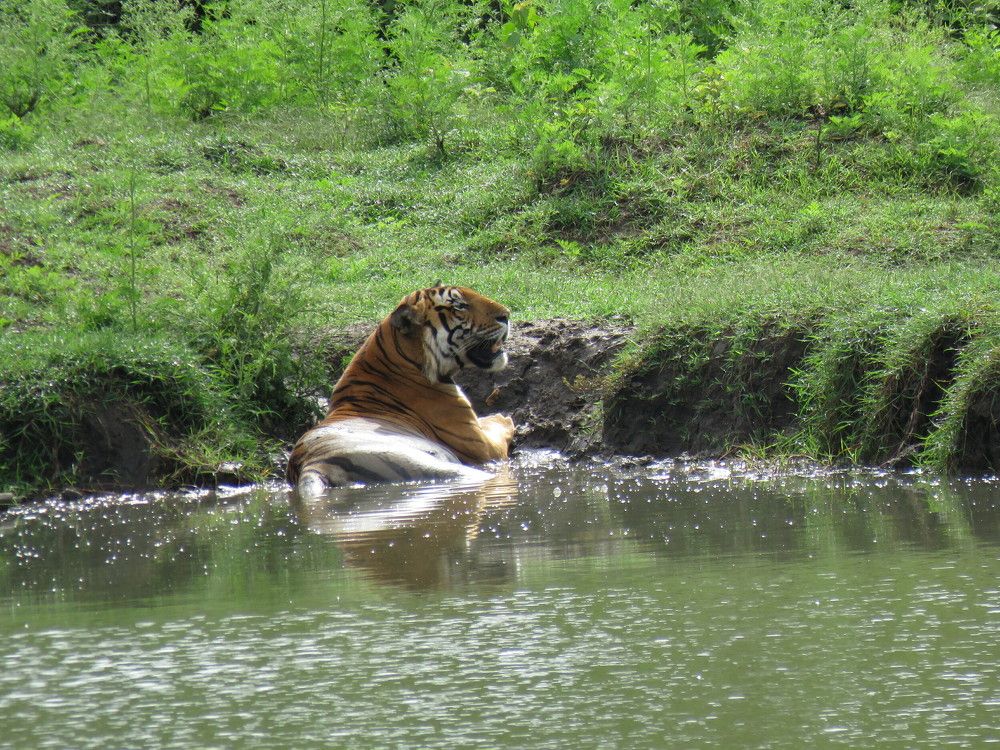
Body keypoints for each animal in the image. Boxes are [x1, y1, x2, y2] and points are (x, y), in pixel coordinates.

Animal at [286, 285, 516, 496]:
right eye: (459, 305)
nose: (506, 315)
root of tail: (313, 466)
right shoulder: (483, 447)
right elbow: (498, 428)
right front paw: (503, 417)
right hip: (444, 468)